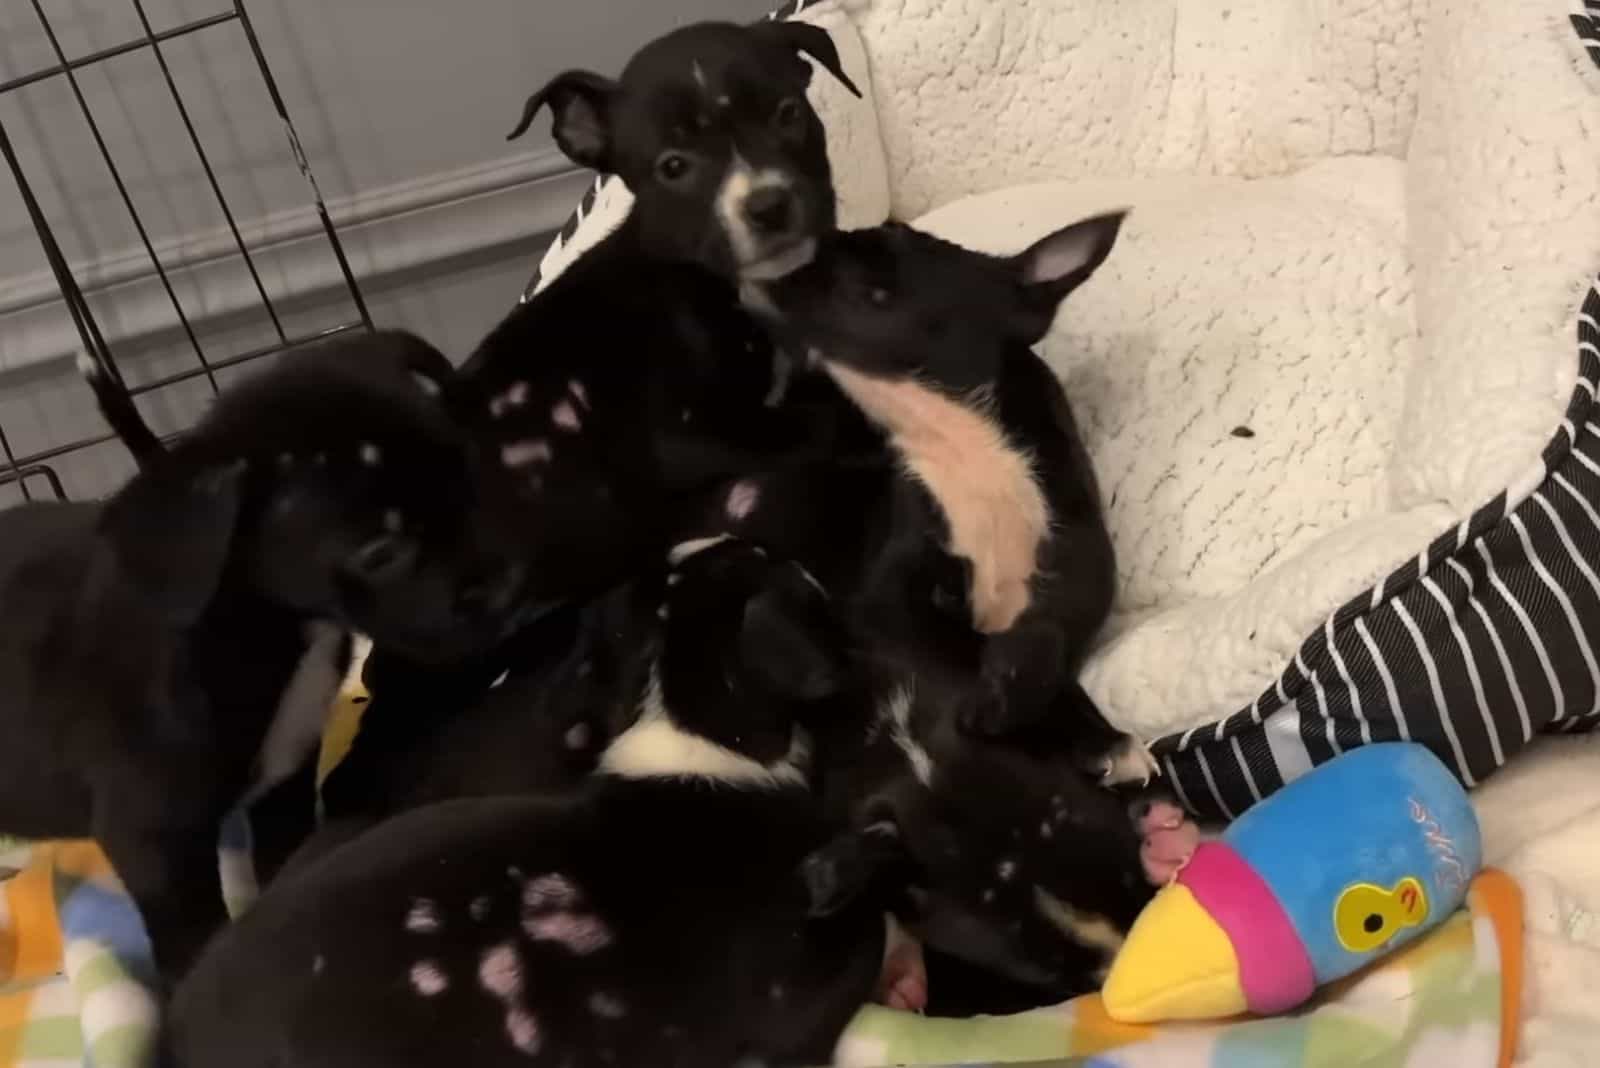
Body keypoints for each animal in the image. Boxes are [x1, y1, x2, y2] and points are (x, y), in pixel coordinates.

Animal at [0, 330, 524, 978]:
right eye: (379, 550)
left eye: (468, 476)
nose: (511, 585)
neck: (263, 630)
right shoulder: (155, 838)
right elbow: (194, 941)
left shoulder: (285, 788)